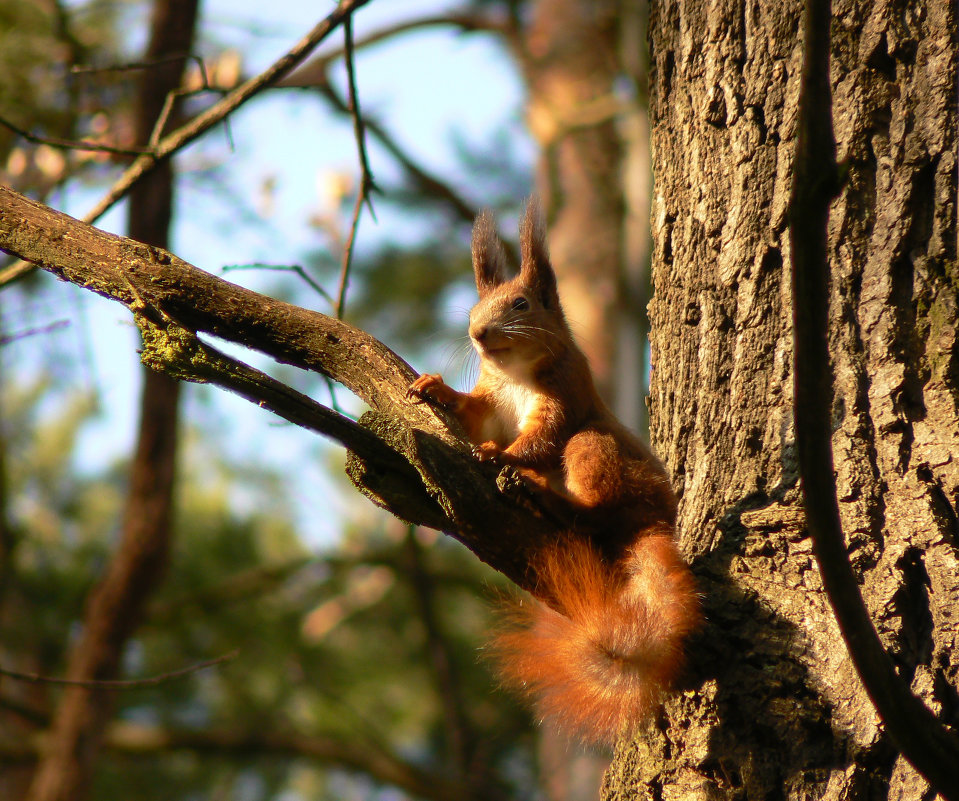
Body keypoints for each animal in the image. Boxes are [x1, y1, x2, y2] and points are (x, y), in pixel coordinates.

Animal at [408, 200, 700, 744]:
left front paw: (500, 457)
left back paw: (546, 495)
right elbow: (472, 414)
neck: (516, 374)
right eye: (474, 309)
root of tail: (654, 520)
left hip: (597, 453)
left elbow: (540, 440)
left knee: (592, 507)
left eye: (521, 304)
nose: (477, 334)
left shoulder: (564, 395)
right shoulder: (491, 403)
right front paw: (434, 386)